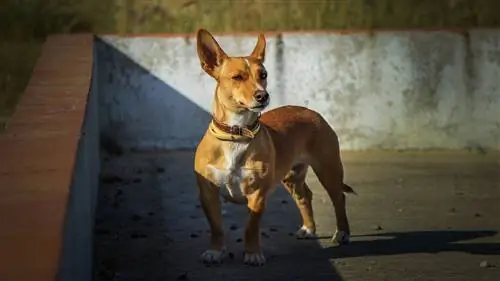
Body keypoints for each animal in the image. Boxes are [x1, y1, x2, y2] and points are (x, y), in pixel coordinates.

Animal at [192, 28, 356, 264]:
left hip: (328, 169)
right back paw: (308, 228)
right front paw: (216, 251)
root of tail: (311, 112)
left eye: (263, 75)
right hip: (291, 176)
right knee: (304, 196)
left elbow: (251, 227)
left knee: (338, 198)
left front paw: (252, 253)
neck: (237, 134)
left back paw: (342, 233)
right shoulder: (208, 193)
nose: (263, 95)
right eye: (237, 77)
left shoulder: (258, 194)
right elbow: (216, 227)